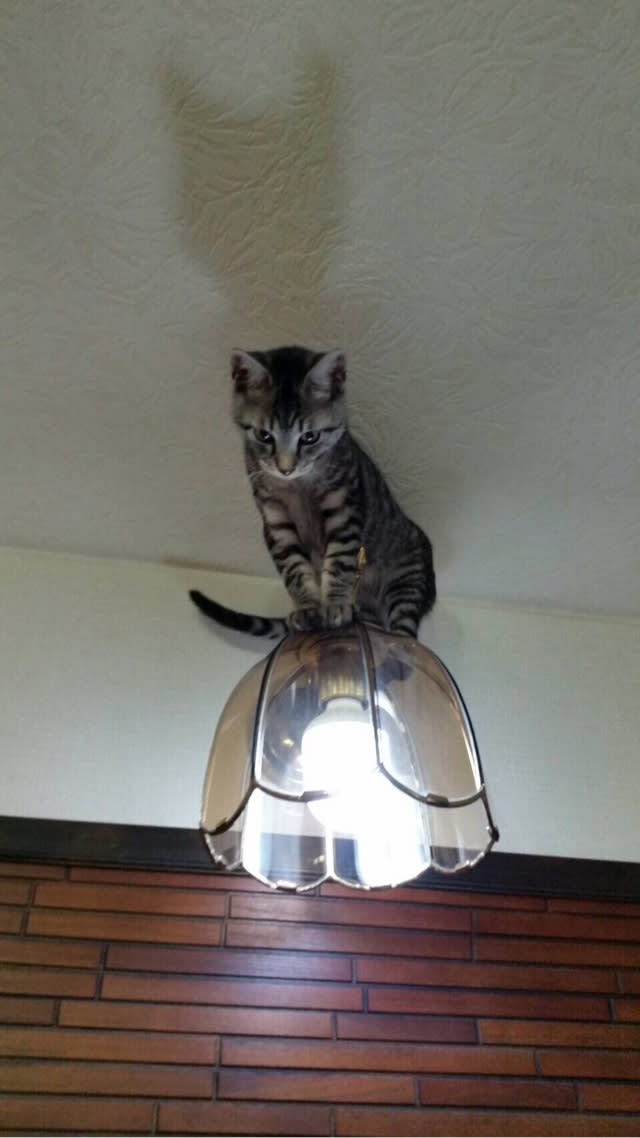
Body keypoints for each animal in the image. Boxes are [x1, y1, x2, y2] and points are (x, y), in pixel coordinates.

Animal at [190, 345, 436, 639]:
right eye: (264, 435)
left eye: (309, 437)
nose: (285, 469)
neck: (297, 487)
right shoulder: (275, 520)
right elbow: (293, 568)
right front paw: (308, 608)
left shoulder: (343, 509)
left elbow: (339, 560)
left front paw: (335, 604)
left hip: (408, 579)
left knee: (404, 629)